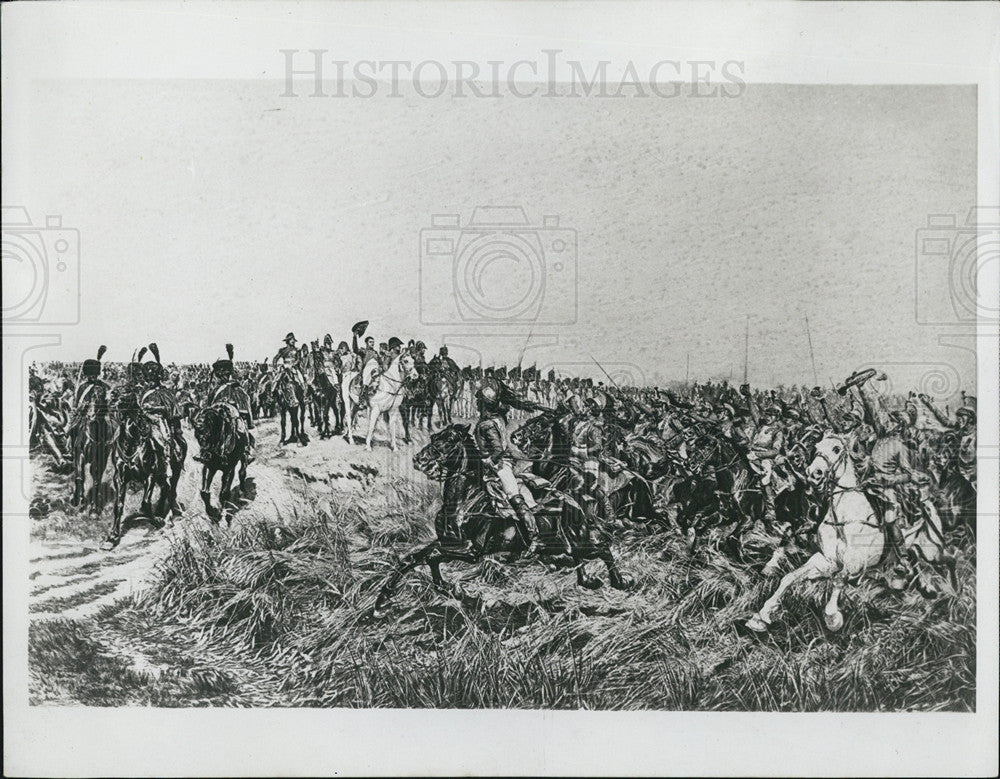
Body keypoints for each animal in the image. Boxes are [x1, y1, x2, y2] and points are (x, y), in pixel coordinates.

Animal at [376, 424, 632, 620]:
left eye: (448, 441)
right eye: (433, 438)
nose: (419, 459)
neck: (465, 498)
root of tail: (574, 502)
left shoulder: (471, 550)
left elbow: (432, 556)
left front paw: (452, 589)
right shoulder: (448, 542)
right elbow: (413, 558)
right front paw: (382, 601)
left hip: (581, 540)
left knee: (604, 548)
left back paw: (621, 581)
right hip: (563, 544)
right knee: (580, 557)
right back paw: (590, 581)